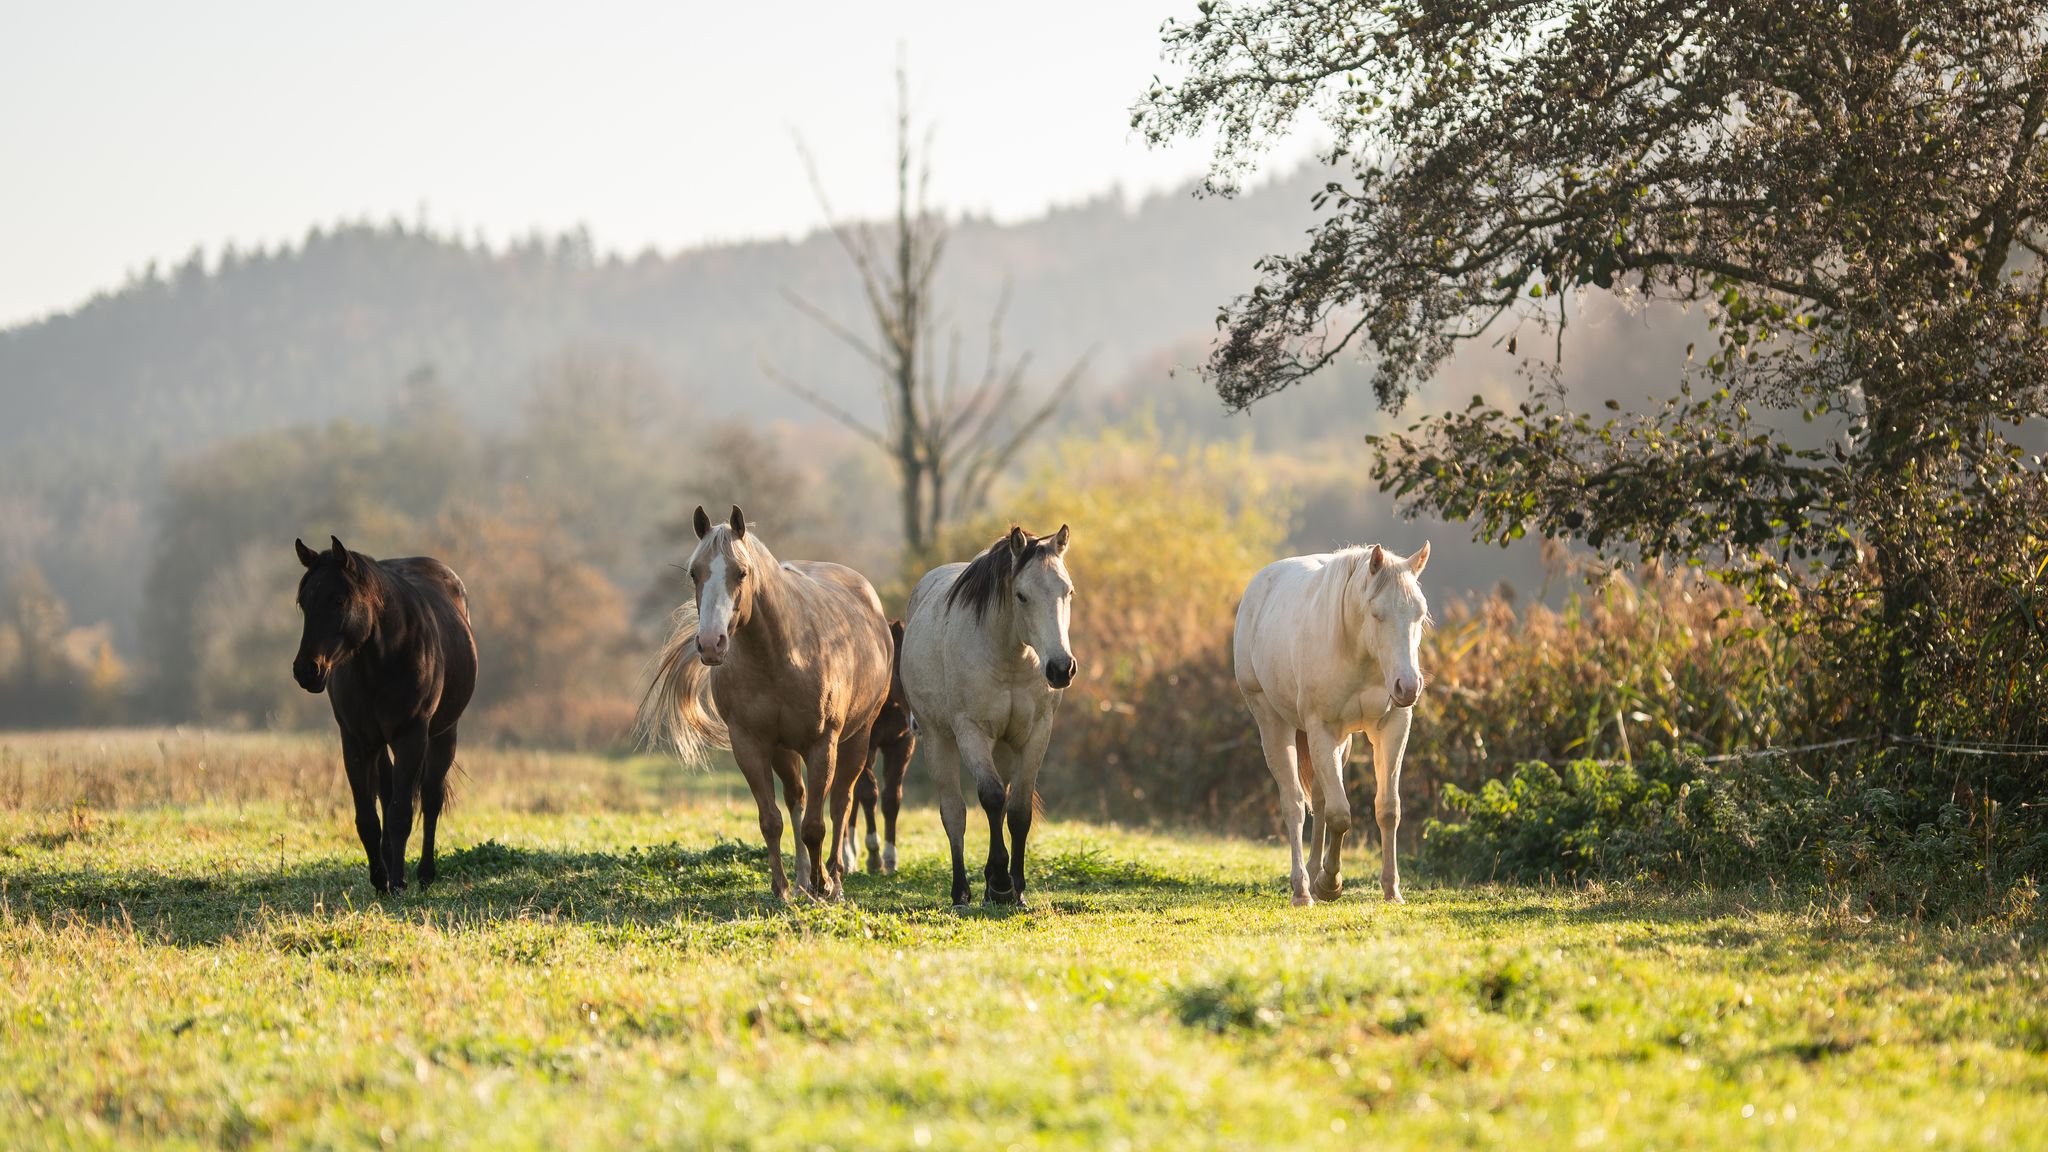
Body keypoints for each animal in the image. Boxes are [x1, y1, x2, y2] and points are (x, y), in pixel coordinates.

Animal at [290, 532, 477, 893]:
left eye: (338, 600)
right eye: (303, 602)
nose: (307, 671)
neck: (382, 660)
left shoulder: (411, 736)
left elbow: (402, 814)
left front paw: (399, 881)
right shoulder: (357, 740)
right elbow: (369, 817)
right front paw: (380, 878)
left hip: (444, 734)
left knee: (430, 799)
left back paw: (424, 874)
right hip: (381, 744)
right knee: (387, 793)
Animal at [634, 502, 892, 897]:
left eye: (741, 572)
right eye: (694, 573)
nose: (710, 644)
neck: (781, 655)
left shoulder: (822, 745)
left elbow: (818, 824)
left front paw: (822, 885)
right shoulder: (751, 744)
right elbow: (772, 819)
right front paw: (782, 888)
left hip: (856, 738)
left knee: (840, 805)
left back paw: (833, 879)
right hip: (784, 750)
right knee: (797, 799)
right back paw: (802, 881)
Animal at [839, 619, 921, 869]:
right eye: (899, 671)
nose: (920, 722)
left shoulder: (901, 744)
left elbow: (891, 797)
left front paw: (890, 857)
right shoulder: (865, 747)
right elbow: (868, 792)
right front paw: (874, 855)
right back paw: (847, 855)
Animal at [905, 522, 1081, 906]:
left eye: (1069, 592)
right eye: (1021, 596)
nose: (1061, 668)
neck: (1011, 657)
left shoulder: (1036, 733)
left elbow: (1017, 810)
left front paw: (1015, 889)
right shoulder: (971, 731)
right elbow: (991, 797)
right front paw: (1000, 881)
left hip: (1002, 746)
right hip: (938, 740)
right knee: (954, 814)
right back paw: (962, 892)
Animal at [1228, 541, 1441, 901]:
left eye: (1420, 614)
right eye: (1376, 613)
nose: (1409, 686)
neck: (1359, 652)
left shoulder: (1393, 727)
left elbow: (1387, 809)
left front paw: (1391, 889)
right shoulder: (1321, 730)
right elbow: (1340, 815)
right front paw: (1330, 883)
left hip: (1341, 741)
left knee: (1319, 799)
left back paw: (1313, 875)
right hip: (1273, 722)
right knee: (1294, 805)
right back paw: (1303, 890)